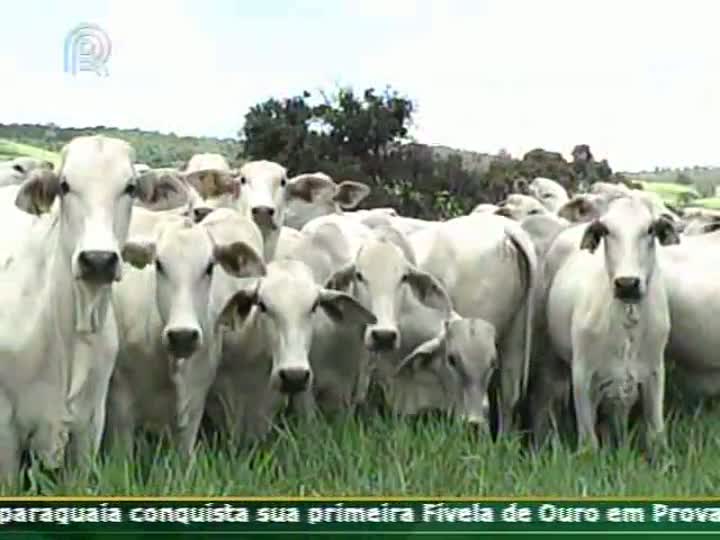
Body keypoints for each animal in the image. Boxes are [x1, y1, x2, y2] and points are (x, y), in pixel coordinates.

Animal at [536, 196, 676, 454]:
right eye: (606, 230)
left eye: (650, 230)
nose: (627, 283)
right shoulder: (582, 374)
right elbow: (588, 442)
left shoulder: (653, 371)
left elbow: (655, 434)